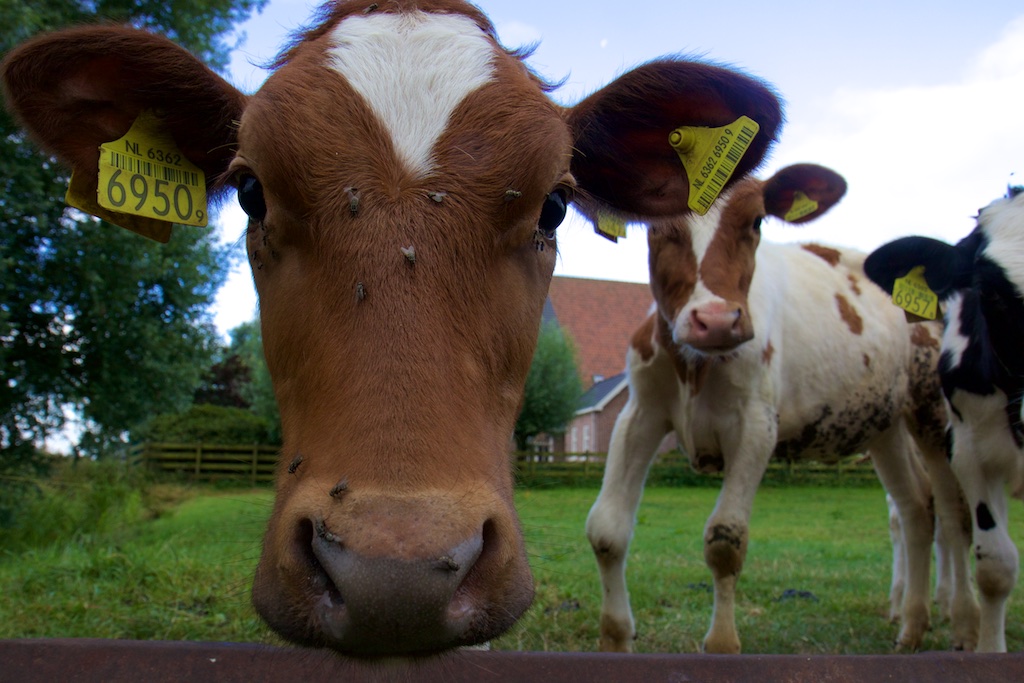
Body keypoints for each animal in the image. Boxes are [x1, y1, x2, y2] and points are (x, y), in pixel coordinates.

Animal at [585, 162, 974, 655]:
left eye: (756, 221)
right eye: (654, 224)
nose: (716, 320)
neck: (696, 367)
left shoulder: (755, 425)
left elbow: (725, 539)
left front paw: (722, 643)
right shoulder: (640, 413)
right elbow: (607, 529)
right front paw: (616, 637)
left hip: (933, 414)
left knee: (954, 511)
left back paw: (963, 623)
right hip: (884, 424)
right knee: (916, 508)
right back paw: (912, 624)